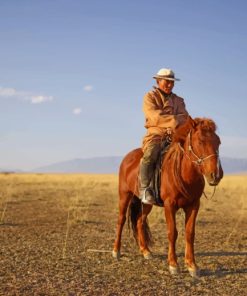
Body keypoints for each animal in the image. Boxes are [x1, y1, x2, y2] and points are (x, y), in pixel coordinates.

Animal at [112, 116, 224, 278]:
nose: (216, 175)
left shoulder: (193, 206)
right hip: (124, 195)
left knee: (139, 221)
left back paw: (145, 251)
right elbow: (172, 232)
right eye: (200, 141)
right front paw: (173, 265)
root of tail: (128, 158)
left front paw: (192, 265)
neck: (185, 174)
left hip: (146, 203)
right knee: (121, 220)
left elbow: (190, 233)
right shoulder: (169, 205)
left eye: (218, 142)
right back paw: (116, 251)